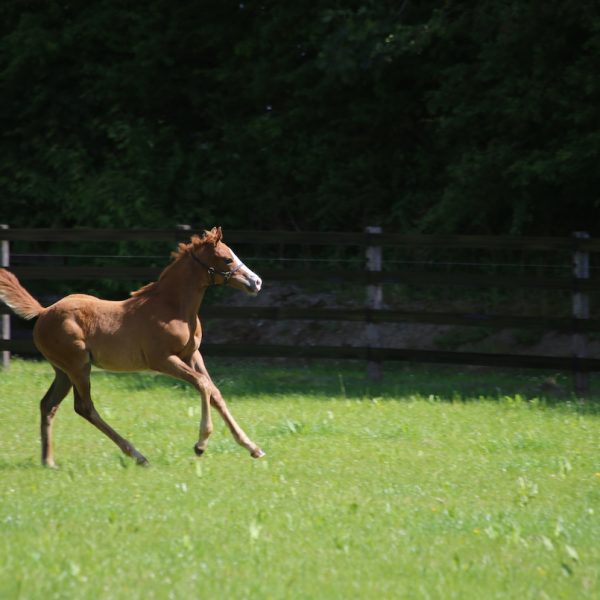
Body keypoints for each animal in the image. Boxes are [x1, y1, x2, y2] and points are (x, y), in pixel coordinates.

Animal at [0, 227, 264, 466]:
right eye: (227, 259)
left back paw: (48, 461)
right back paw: (138, 455)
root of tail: (44, 312)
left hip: (63, 371)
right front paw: (201, 444)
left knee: (48, 404)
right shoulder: (162, 360)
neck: (172, 308)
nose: (256, 282)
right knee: (84, 407)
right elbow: (202, 384)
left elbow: (214, 391)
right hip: (78, 366)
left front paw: (252, 447)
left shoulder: (192, 355)